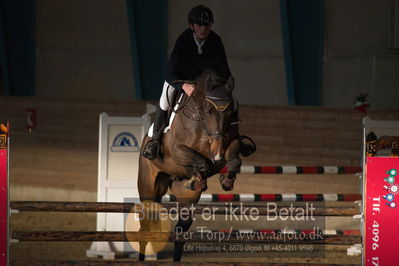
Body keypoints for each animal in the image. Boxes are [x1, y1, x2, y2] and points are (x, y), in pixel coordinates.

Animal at [138, 71, 242, 260]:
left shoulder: (228, 146)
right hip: (148, 187)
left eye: (231, 111)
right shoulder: (177, 150)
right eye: (208, 110)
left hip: (187, 199)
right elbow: (202, 163)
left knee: (180, 231)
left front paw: (226, 182)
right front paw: (198, 177)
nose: (217, 152)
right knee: (145, 227)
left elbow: (233, 161)